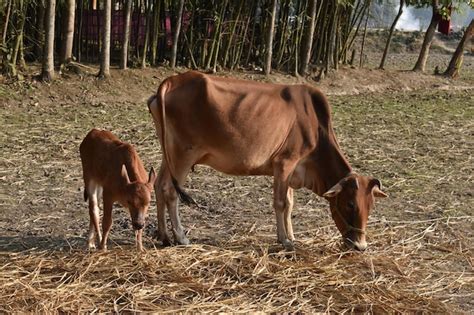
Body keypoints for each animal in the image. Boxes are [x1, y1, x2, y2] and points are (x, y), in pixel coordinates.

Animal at [149, 71, 388, 252]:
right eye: (350, 204)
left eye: (371, 205)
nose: (360, 246)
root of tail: (173, 80)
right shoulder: (284, 163)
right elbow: (280, 203)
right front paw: (284, 240)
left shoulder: (290, 171)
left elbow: (290, 204)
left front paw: (292, 236)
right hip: (183, 155)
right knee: (170, 190)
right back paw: (181, 237)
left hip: (169, 154)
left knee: (158, 185)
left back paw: (164, 236)